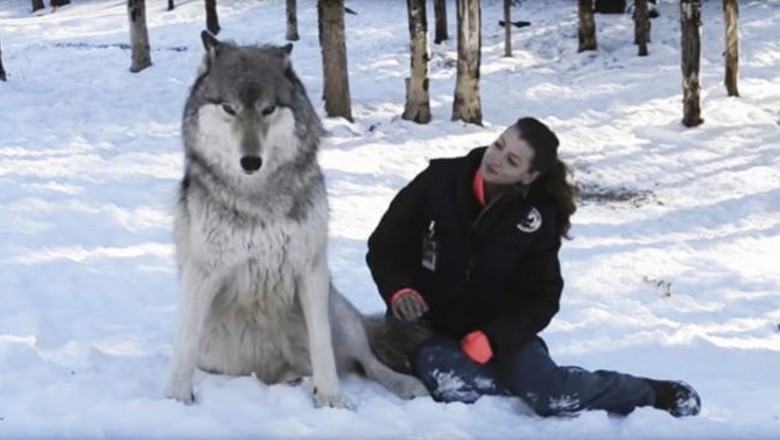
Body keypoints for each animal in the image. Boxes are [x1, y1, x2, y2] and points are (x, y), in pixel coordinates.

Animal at [165, 31, 430, 410]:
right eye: (229, 109)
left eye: (268, 109)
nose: (250, 161)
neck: (258, 198)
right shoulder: (202, 273)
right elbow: (183, 344)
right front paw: (175, 399)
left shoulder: (310, 269)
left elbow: (323, 346)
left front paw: (332, 400)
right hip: (218, 352)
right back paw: (292, 379)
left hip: (339, 311)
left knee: (367, 361)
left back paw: (404, 384)